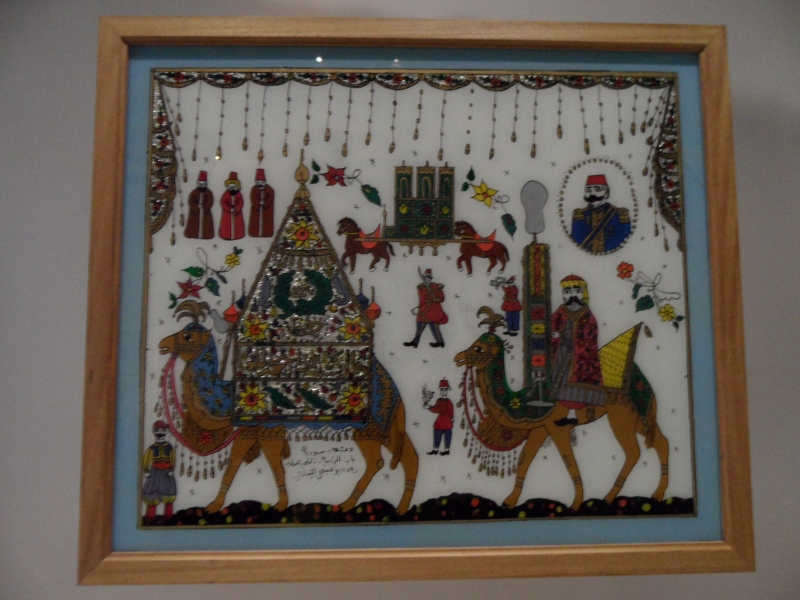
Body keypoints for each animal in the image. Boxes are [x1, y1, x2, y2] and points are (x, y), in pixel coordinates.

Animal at [159, 304, 418, 515]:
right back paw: (392, 507)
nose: (162, 345)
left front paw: (281, 504)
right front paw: (213, 506)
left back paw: (359, 505)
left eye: (187, 335)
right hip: (380, 428)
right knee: (404, 456)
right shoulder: (249, 431)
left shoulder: (267, 430)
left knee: (380, 461)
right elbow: (233, 465)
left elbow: (274, 465)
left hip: (371, 427)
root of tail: (393, 389)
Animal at [453, 313, 669, 510]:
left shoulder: (557, 426)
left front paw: (576, 504)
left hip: (620, 414)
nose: (458, 357)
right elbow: (524, 460)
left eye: (478, 348)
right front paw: (509, 501)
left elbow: (570, 463)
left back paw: (609, 498)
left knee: (633, 451)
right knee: (660, 441)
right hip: (637, 415)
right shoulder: (540, 427)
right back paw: (656, 494)